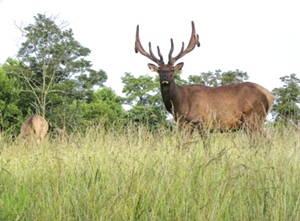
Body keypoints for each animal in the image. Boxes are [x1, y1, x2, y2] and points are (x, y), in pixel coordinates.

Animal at [135, 21, 276, 143]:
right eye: (159, 70)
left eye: (172, 70)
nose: (164, 78)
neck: (180, 103)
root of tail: (270, 95)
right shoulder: (184, 125)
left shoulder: (203, 122)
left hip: (253, 117)